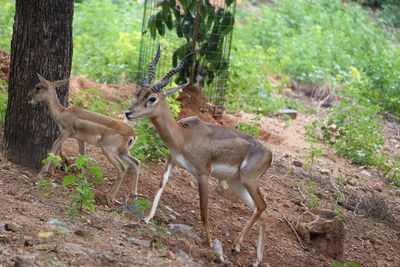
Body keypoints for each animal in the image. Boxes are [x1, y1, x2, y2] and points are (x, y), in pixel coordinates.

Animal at [26, 74, 139, 204]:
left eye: (38, 87)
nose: (28, 97)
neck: (62, 113)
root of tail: (132, 135)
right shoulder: (80, 139)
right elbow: (82, 157)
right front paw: (84, 184)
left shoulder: (66, 132)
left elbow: (53, 148)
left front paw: (40, 175)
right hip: (123, 152)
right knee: (136, 163)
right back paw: (134, 195)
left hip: (109, 150)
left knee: (122, 169)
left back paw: (111, 199)